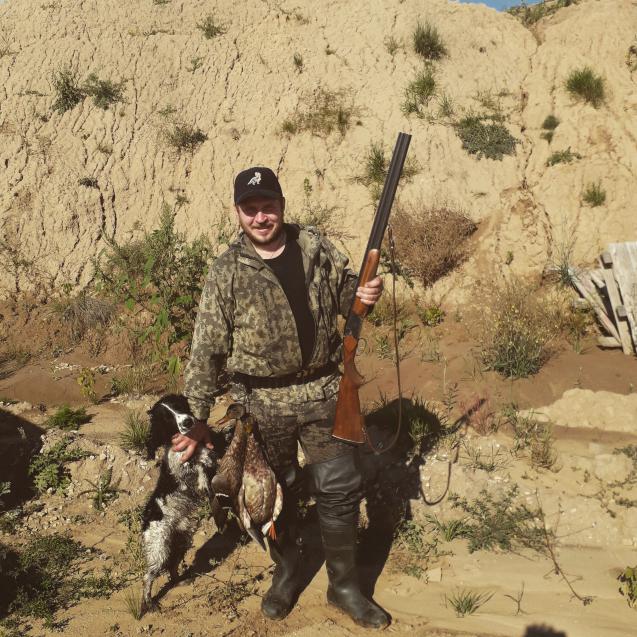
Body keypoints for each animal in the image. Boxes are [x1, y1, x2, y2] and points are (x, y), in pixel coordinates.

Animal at [141, 394, 229, 610]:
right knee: (148, 576)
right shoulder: (182, 467)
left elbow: (214, 450)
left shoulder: (212, 450)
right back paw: (149, 602)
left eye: (178, 406)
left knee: (172, 566)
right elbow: (196, 466)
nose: (188, 421)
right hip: (159, 549)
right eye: (166, 418)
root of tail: (146, 521)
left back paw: (179, 581)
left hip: (181, 541)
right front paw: (204, 482)